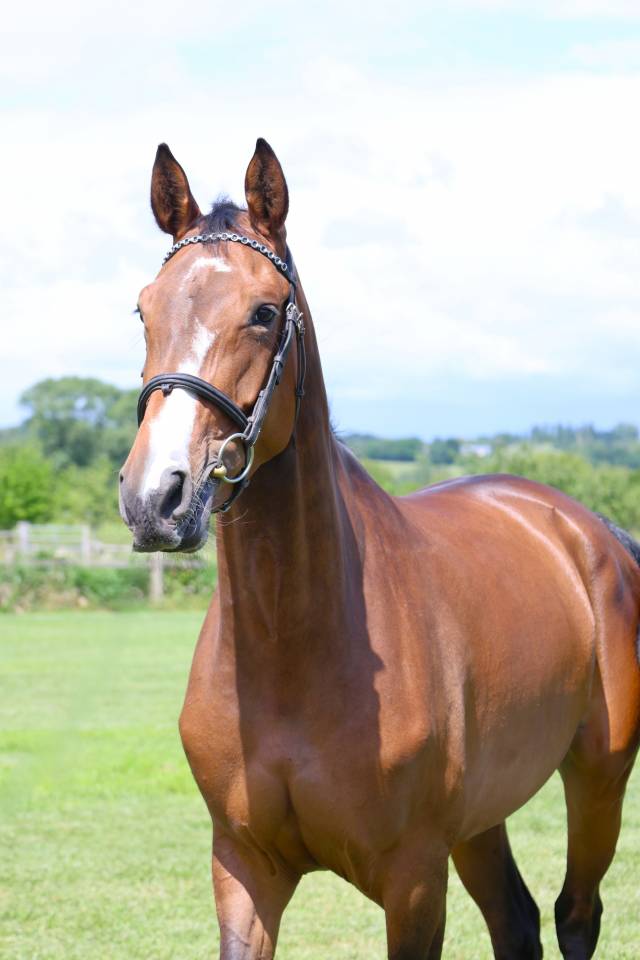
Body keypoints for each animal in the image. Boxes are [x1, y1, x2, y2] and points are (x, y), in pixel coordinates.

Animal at [119, 137, 640, 959]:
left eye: (264, 312)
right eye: (144, 308)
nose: (155, 500)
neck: (292, 647)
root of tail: (587, 530)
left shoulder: (414, 880)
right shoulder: (243, 868)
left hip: (598, 779)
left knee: (574, 915)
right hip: (482, 817)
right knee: (517, 919)